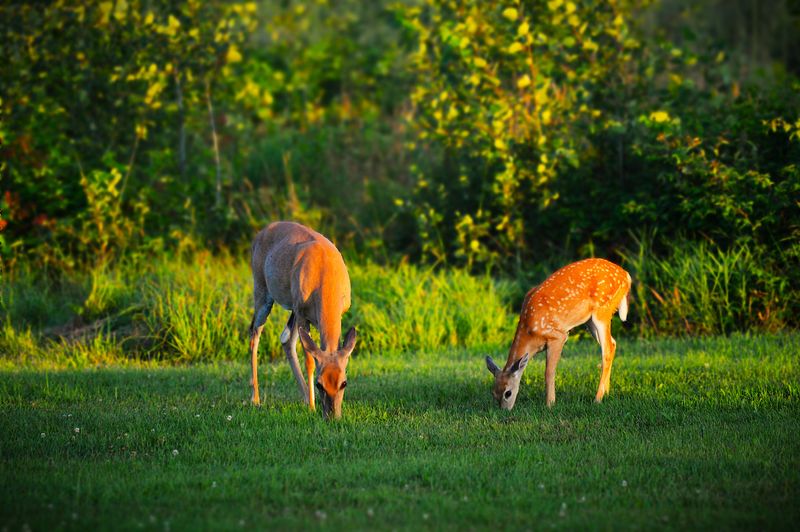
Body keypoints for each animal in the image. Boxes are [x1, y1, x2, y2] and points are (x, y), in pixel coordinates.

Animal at [248, 221, 356, 420]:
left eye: (344, 383)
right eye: (319, 384)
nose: (332, 416)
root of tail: (261, 232)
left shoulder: (337, 313)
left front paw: (311, 402)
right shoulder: (301, 312)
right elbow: (310, 361)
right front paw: (313, 407)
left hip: (291, 307)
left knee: (285, 338)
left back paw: (305, 397)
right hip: (262, 289)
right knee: (254, 334)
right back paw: (256, 399)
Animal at [486, 258, 631, 409]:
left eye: (507, 393)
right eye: (493, 393)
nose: (504, 410)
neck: (531, 332)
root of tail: (626, 276)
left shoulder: (558, 336)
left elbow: (549, 372)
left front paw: (550, 404)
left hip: (602, 310)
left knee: (607, 349)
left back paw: (597, 399)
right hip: (590, 321)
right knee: (613, 343)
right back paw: (606, 393)